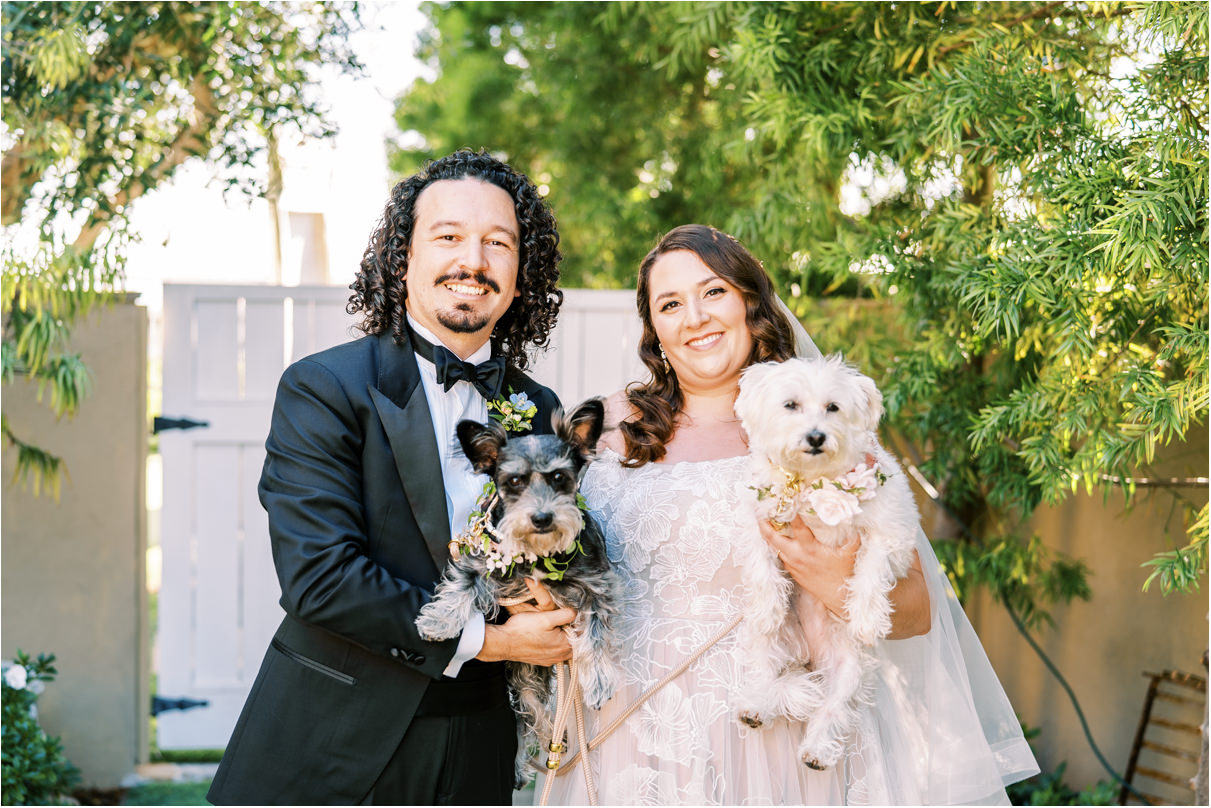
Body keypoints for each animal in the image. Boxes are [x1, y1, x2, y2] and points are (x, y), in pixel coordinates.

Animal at [416, 402, 624, 784]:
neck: (537, 553)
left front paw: (600, 681)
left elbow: (596, 634)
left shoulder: (599, 587)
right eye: (514, 481)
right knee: (530, 719)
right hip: (523, 682)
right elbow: (459, 586)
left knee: (536, 721)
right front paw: (438, 621)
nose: (542, 518)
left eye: (559, 477)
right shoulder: (479, 562)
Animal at [726, 353, 915, 770]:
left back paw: (817, 749)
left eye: (833, 408)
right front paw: (767, 606)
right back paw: (757, 705)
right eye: (790, 405)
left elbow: (871, 572)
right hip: (767, 644)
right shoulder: (759, 521)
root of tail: (806, 658)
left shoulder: (889, 530)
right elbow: (763, 572)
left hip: (851, 669)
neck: (810, 483)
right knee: (765, 672)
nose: (816, 437)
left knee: (835, 707)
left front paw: (867, 618)